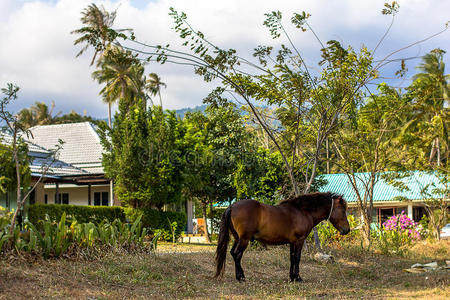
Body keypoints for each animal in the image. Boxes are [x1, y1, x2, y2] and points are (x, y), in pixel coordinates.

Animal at [215, 192, 352, 282]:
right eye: (343, 211)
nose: (347, 230)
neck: (302, 211)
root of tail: (232, 206)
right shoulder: (299, 240)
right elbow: (297, 258)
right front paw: (298, 277)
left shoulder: (292, 242)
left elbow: (292, 258)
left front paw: (292, 277)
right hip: (244, 239)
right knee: (237, 255)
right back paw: (241, 277)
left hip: (238, 238)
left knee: (233, 253)